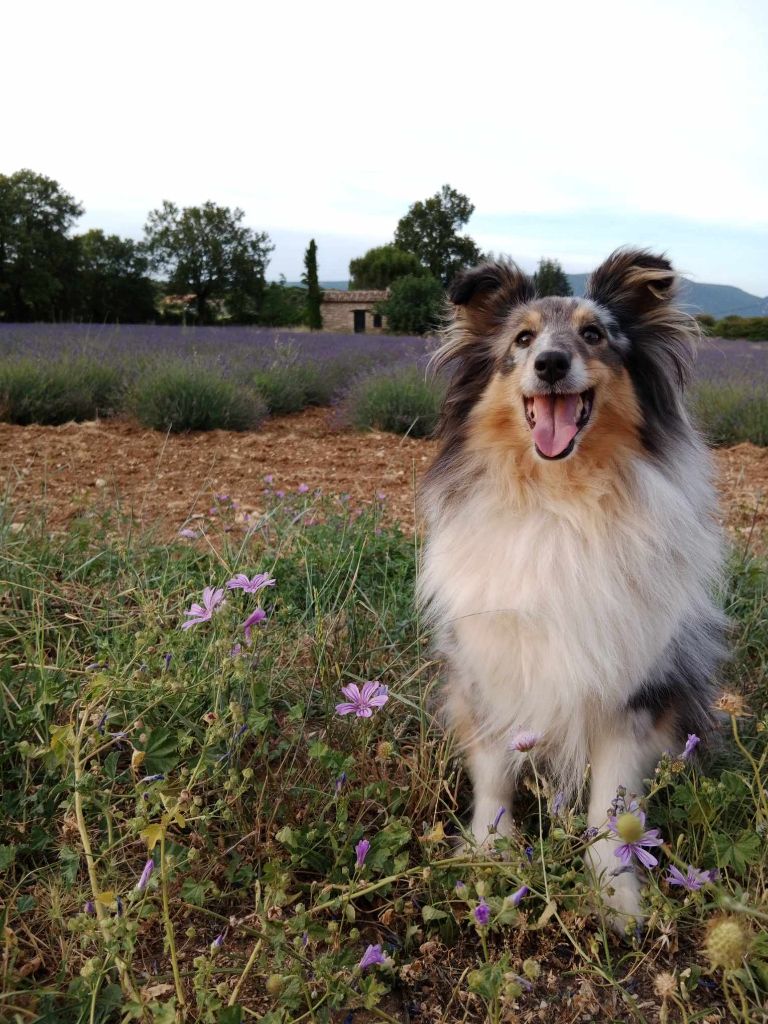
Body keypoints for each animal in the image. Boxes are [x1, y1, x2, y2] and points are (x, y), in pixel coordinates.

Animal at [421, 249, 729, 929]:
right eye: (522, 339)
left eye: (594, 334)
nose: (551, 365)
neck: (560, 503)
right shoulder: (491, 667)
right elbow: (493, 776)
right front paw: (490, 859)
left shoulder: (631, 692)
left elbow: (613, 811)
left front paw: (617, 898)